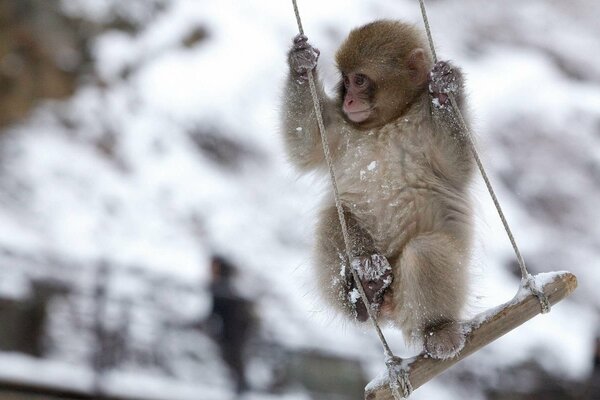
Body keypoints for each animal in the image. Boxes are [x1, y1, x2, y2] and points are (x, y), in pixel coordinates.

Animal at [282, 20, 474, 360]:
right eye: (345, 81)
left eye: (359, 80)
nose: (349, 100)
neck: (389, 121)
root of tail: (391, 310)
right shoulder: (342, 129)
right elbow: (305, 144)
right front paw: (301, 64)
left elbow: (458, 168)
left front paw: (443, 89)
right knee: (335, 217)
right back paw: (365, 292)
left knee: (425, 251)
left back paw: (438, 329)